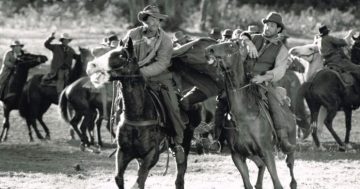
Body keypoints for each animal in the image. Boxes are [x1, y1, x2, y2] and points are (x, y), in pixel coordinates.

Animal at [204, 39, 296, 188]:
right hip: (251, 153)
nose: (209, 50)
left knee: (290, 164)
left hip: (290, 144)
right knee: (261, 165)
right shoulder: (237, 155)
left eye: (231, 46)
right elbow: (247, 183)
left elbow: (276, 182)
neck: (244, 116)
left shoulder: (266, 151)